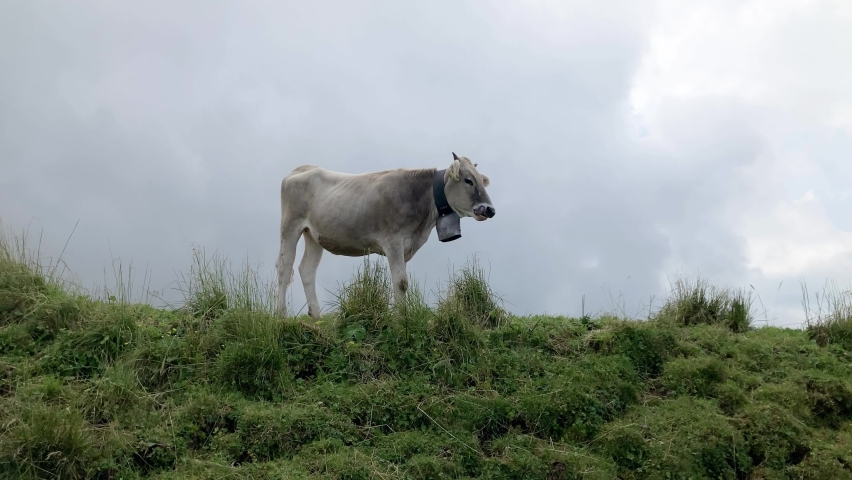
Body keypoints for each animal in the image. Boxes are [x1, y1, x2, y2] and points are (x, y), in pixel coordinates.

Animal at [275, 152, 496, 319]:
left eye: (482, 181)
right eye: (468, 180)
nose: (490, 209)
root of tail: (302, 168)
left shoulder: (405, 246)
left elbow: (402, 281)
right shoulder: (393, 242)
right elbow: (401, 282)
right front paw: (400, 320)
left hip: (314, 235)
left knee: (306, 269)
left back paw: (316, 317)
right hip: (290, 226)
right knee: (284, 268)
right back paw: (282, 316)